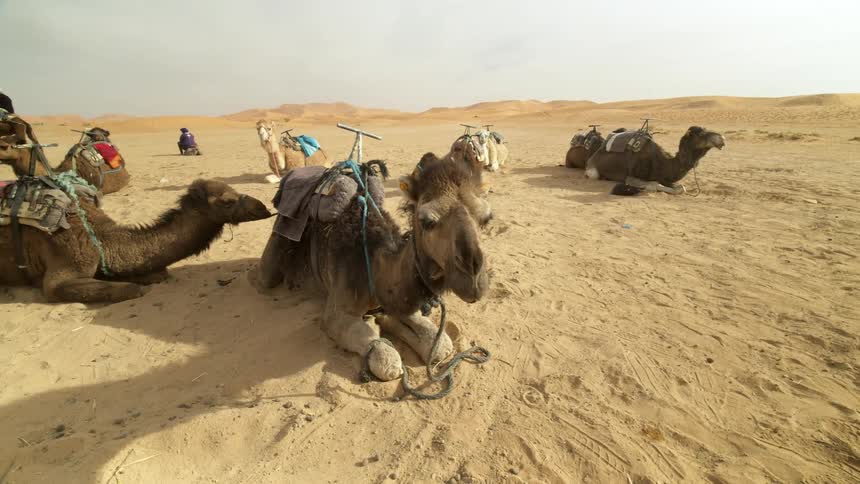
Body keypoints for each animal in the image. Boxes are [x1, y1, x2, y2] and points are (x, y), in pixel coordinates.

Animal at [0, 179, 271, 303]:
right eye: (227, 201)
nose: (263, 206)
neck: (103, 239)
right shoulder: (63, 265)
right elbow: (132, 289)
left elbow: (158, 273)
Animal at [256, 155, 492, 382]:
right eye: (427, 221)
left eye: (487, 219)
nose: (473, 277)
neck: (375, 265)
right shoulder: (335, 313)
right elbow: (387, 361)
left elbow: (441, 345)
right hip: (273, 256)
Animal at [585, 126, 725, 195]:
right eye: (701, 134)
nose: (722, 138)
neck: (663, 163)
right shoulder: (631, 177)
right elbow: (654, 185)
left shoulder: (665, 177)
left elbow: (681, 187)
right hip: (592, 171)